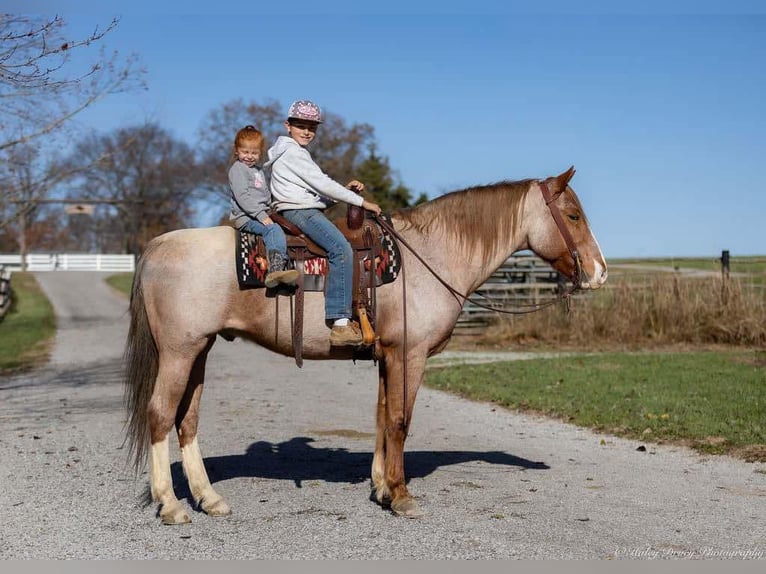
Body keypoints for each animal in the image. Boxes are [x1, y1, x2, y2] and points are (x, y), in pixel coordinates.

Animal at [123, 168, 608, 528]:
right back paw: (171, 506)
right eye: (573, 215)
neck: (427, 257)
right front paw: (402, 497)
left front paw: (381, 488)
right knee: (160, 415)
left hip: (199, 351)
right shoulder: (409, 356)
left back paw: (209, 498)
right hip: (179, 352)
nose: (599, 272)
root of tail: (157, 245)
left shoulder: (386, 356)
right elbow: (399, 421)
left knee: (187, 420)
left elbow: (380, 419)